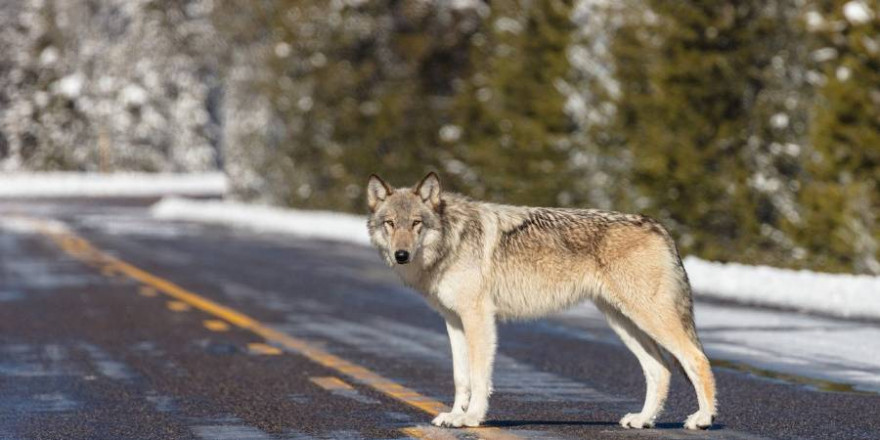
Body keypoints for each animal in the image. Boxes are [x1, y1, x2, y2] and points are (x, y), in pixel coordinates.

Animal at [364, 172, 716, 430]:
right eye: (390, 224)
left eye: (416, 223)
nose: (401, 255)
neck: (451, 241)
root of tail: (659, 227)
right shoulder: (453, 320)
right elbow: (460, 377)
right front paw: (454, 415)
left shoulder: (478, 318)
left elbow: (479, 376)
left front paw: (472, 418)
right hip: (623, 323)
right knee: (661, 370)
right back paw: (643, 420)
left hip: (649, 318)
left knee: (696, 359)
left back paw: (702, 419)